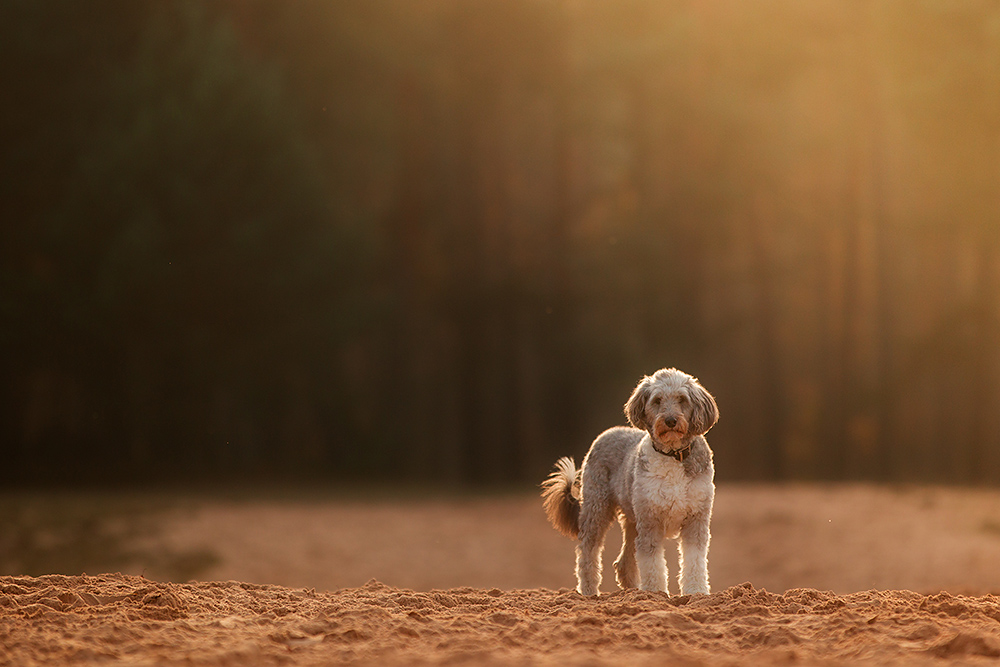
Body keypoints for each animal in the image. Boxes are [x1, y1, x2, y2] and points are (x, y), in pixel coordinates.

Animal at [540, 368, 720, 596]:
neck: (672, 454)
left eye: (682, 399)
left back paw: (633, 592)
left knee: (623, 562)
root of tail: (605, 433)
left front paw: (696, 591)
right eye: (657, 400)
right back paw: (589, 591)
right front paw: (655, 592)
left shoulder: (696, 518)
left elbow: (694, 559)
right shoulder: (650, 519)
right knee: (587, 552)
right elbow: (652, 562)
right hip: (597, 508)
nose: (670, 420)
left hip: (631, 520)